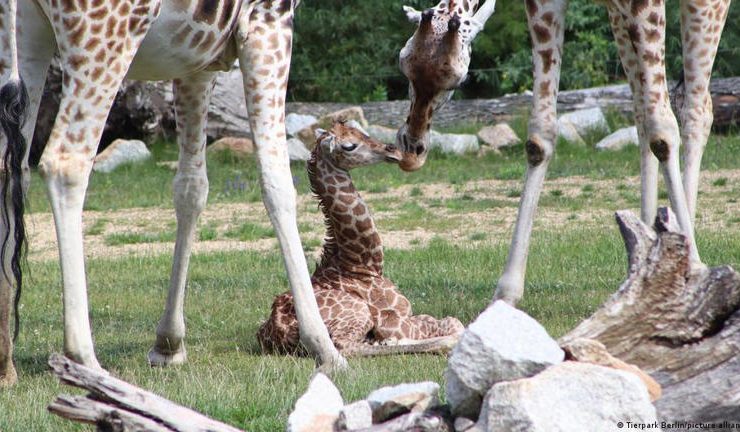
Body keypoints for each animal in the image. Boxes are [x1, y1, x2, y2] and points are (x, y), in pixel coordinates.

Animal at [258, 121, 460, 354]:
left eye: (361, 131)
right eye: (349, 146)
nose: (392, 149)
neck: (363, 265)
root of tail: (278, 332)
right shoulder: (392, 321)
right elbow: (454, 322)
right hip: (358, 312)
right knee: (345, 346)